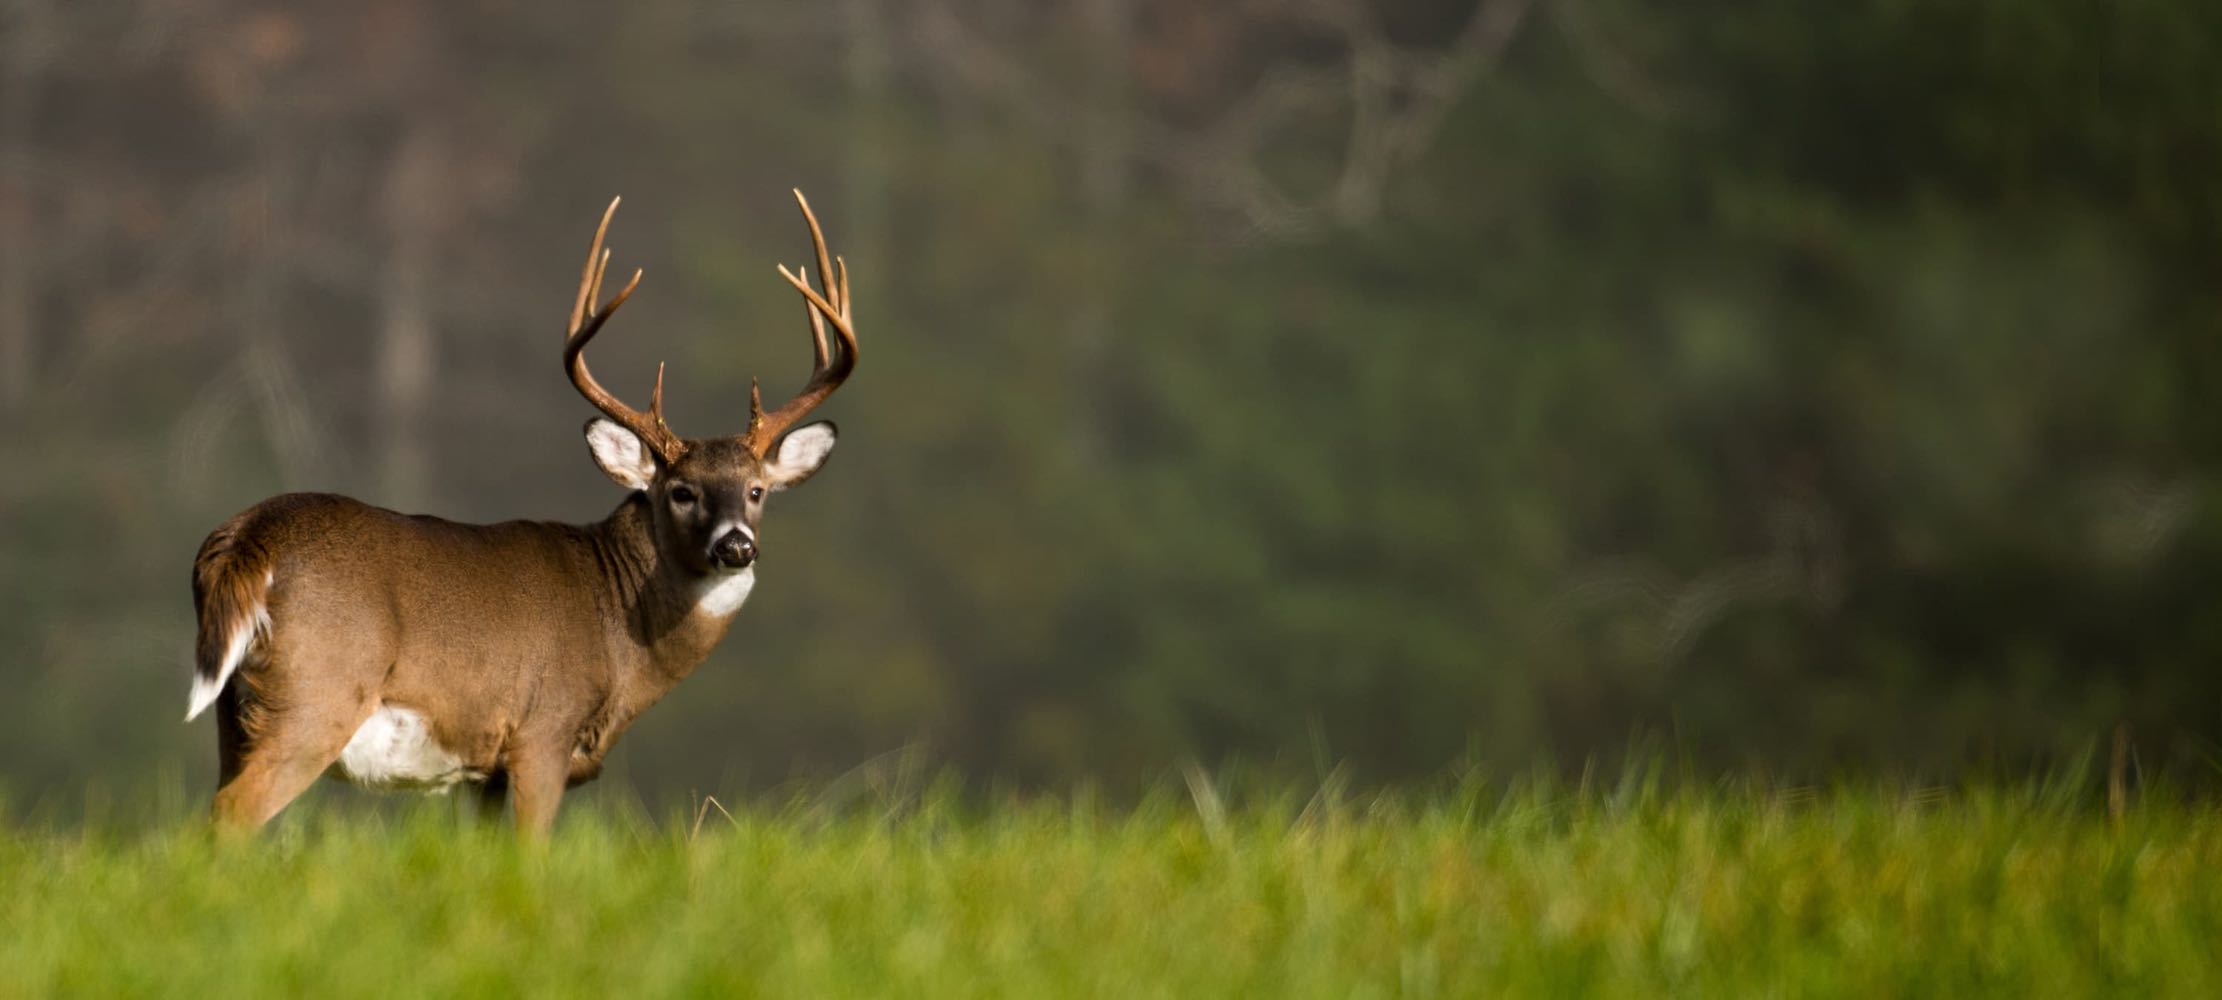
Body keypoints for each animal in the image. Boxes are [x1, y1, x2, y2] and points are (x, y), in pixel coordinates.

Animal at [182, 191, 853, 831]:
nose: (735, 544)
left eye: (757, 490)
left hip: (232, 717)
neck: (617, 631)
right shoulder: (542, 733)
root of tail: (246, 538)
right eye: (681, 491)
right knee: (232, 812)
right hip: (314, 695)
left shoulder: (482, 769)